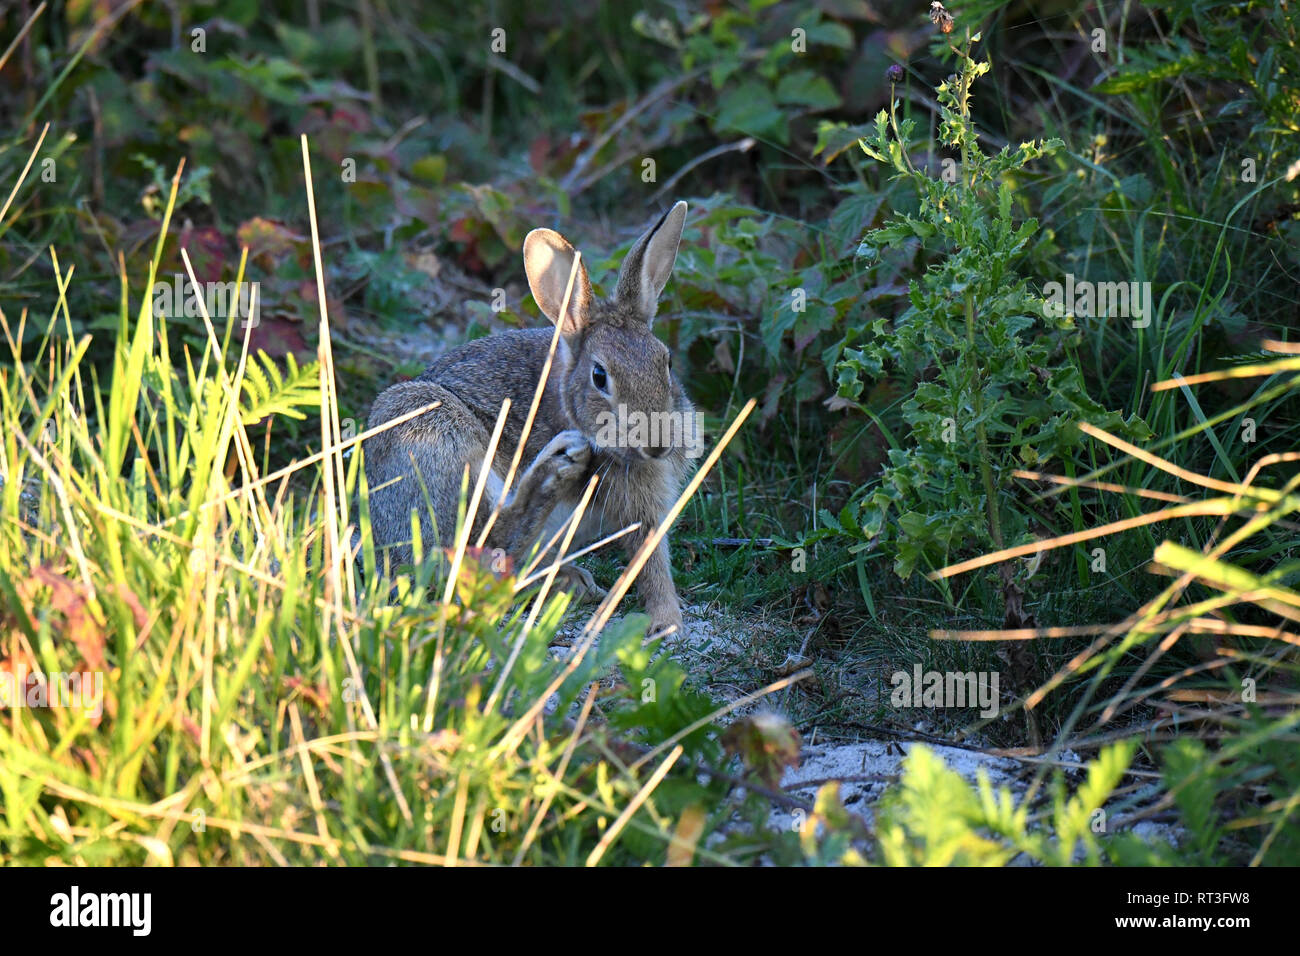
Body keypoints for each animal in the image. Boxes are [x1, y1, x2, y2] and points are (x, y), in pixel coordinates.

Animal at [362, 201, 696, 635]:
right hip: (432, 434)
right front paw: (666, 623)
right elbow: (650, 561)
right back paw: (555, 473)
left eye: (666, 362)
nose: (657, 444)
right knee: (482, 545)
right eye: (600, 376)